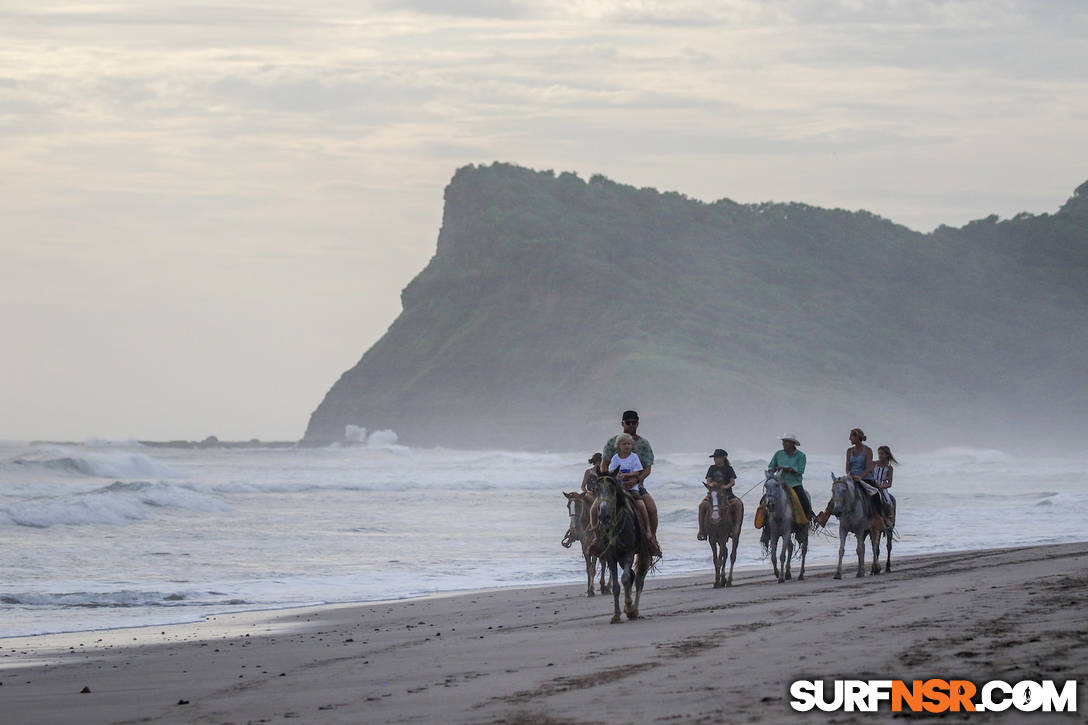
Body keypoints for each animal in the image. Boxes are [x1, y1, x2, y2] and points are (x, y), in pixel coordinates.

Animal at [591, 468, 648, 622]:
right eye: (596, 489)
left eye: (612, 488)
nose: (603, 515)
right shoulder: (611, 556)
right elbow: (616, 586)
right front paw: (616, 615)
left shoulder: (628, 553)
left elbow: (625, 579)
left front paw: (628, 606)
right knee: (634, 575)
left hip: (643, 551)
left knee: (639, 578)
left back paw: (635, 610)